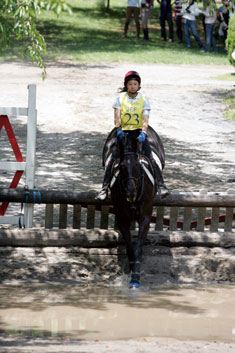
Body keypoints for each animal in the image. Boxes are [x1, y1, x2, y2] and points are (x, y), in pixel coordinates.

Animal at [101, 125, 165, 288]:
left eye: (137, 165)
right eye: (122, 166)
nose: (130, 192)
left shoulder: (145, 219)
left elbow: (138, 248)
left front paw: (135, 278)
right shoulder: (122, 219)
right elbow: (130, 248)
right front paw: (130, 272)